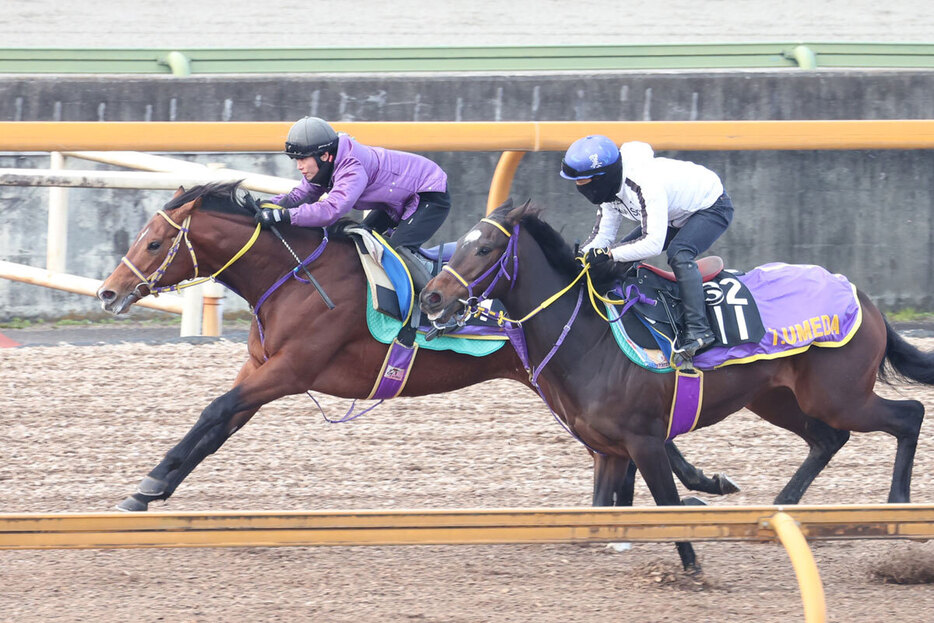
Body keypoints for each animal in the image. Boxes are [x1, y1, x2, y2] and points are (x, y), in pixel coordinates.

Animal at [97, 183, 740, 516]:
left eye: (152, 242)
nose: (108, 292)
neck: (296, 276)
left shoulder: (289, 369)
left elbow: (214, 411)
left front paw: (145, 487)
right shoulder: (260, 367)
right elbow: (216, 426)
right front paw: (153, 486)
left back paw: (698, 488)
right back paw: (703, 484)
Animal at [420, 200, 934, 572]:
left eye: (485, 249)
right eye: (459, 244)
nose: (432, 296)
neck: (591, 336)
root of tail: (861, 296)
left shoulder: (644, 441)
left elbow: (667, 503)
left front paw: (692, 568)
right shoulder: (607, 451)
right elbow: (602, 514)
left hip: (838, 396)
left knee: (908, 414)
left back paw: (899, 506)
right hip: (778, 399)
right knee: (829, 438)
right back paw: (781, 509)